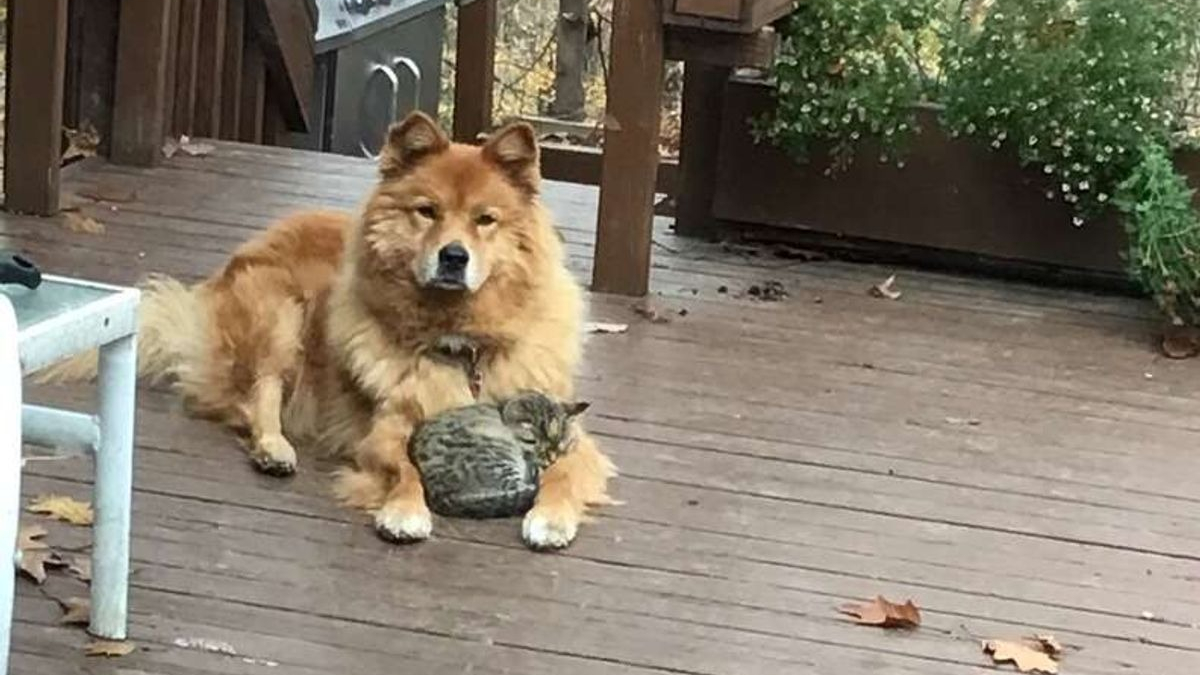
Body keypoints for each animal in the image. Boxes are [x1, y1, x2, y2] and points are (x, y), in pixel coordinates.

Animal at [43, 112, 614, 550]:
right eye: (427, 212)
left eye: (485, 220)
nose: (454, 256)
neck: (460, 342)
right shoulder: (386, 429)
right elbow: (404, 468)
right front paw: (405, 511)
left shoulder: (569, 431)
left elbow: (564, 470)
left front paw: (550, 517)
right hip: (280, 314)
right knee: (256, 396)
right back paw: (274, 449)